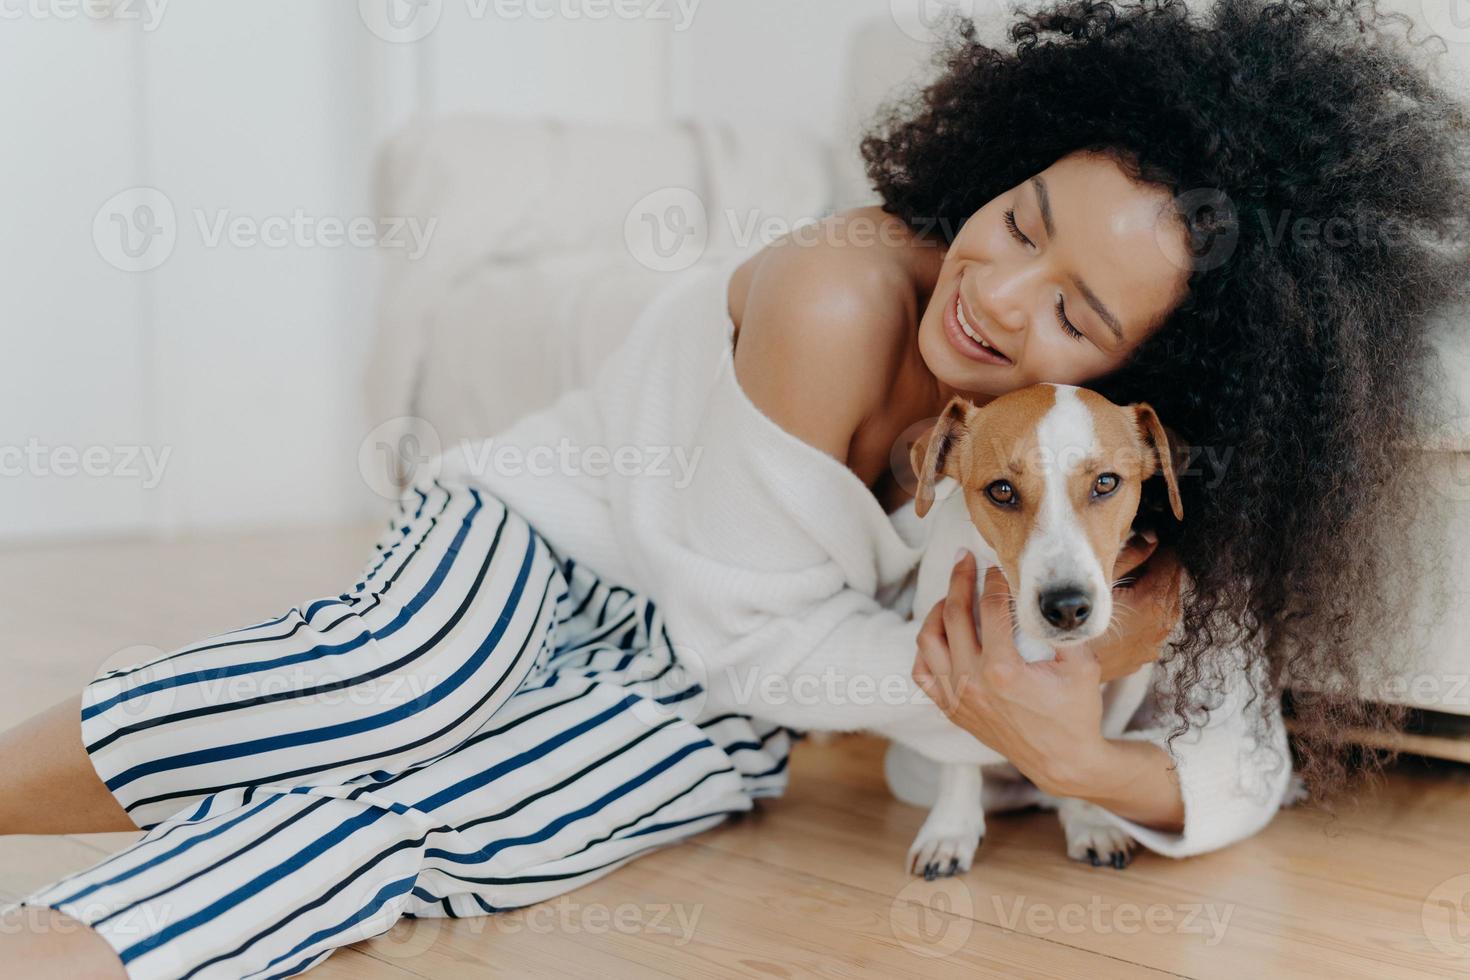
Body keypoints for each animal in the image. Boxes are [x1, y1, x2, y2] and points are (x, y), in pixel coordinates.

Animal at [893, 382, 1181, 881]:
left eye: (1106, 482)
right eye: (1001, 490)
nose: (1066, 607)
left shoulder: (1129, 681)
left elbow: (1090, 752)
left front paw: (1088, 819)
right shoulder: (947, 659)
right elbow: (958, 757)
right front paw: (950, 830)